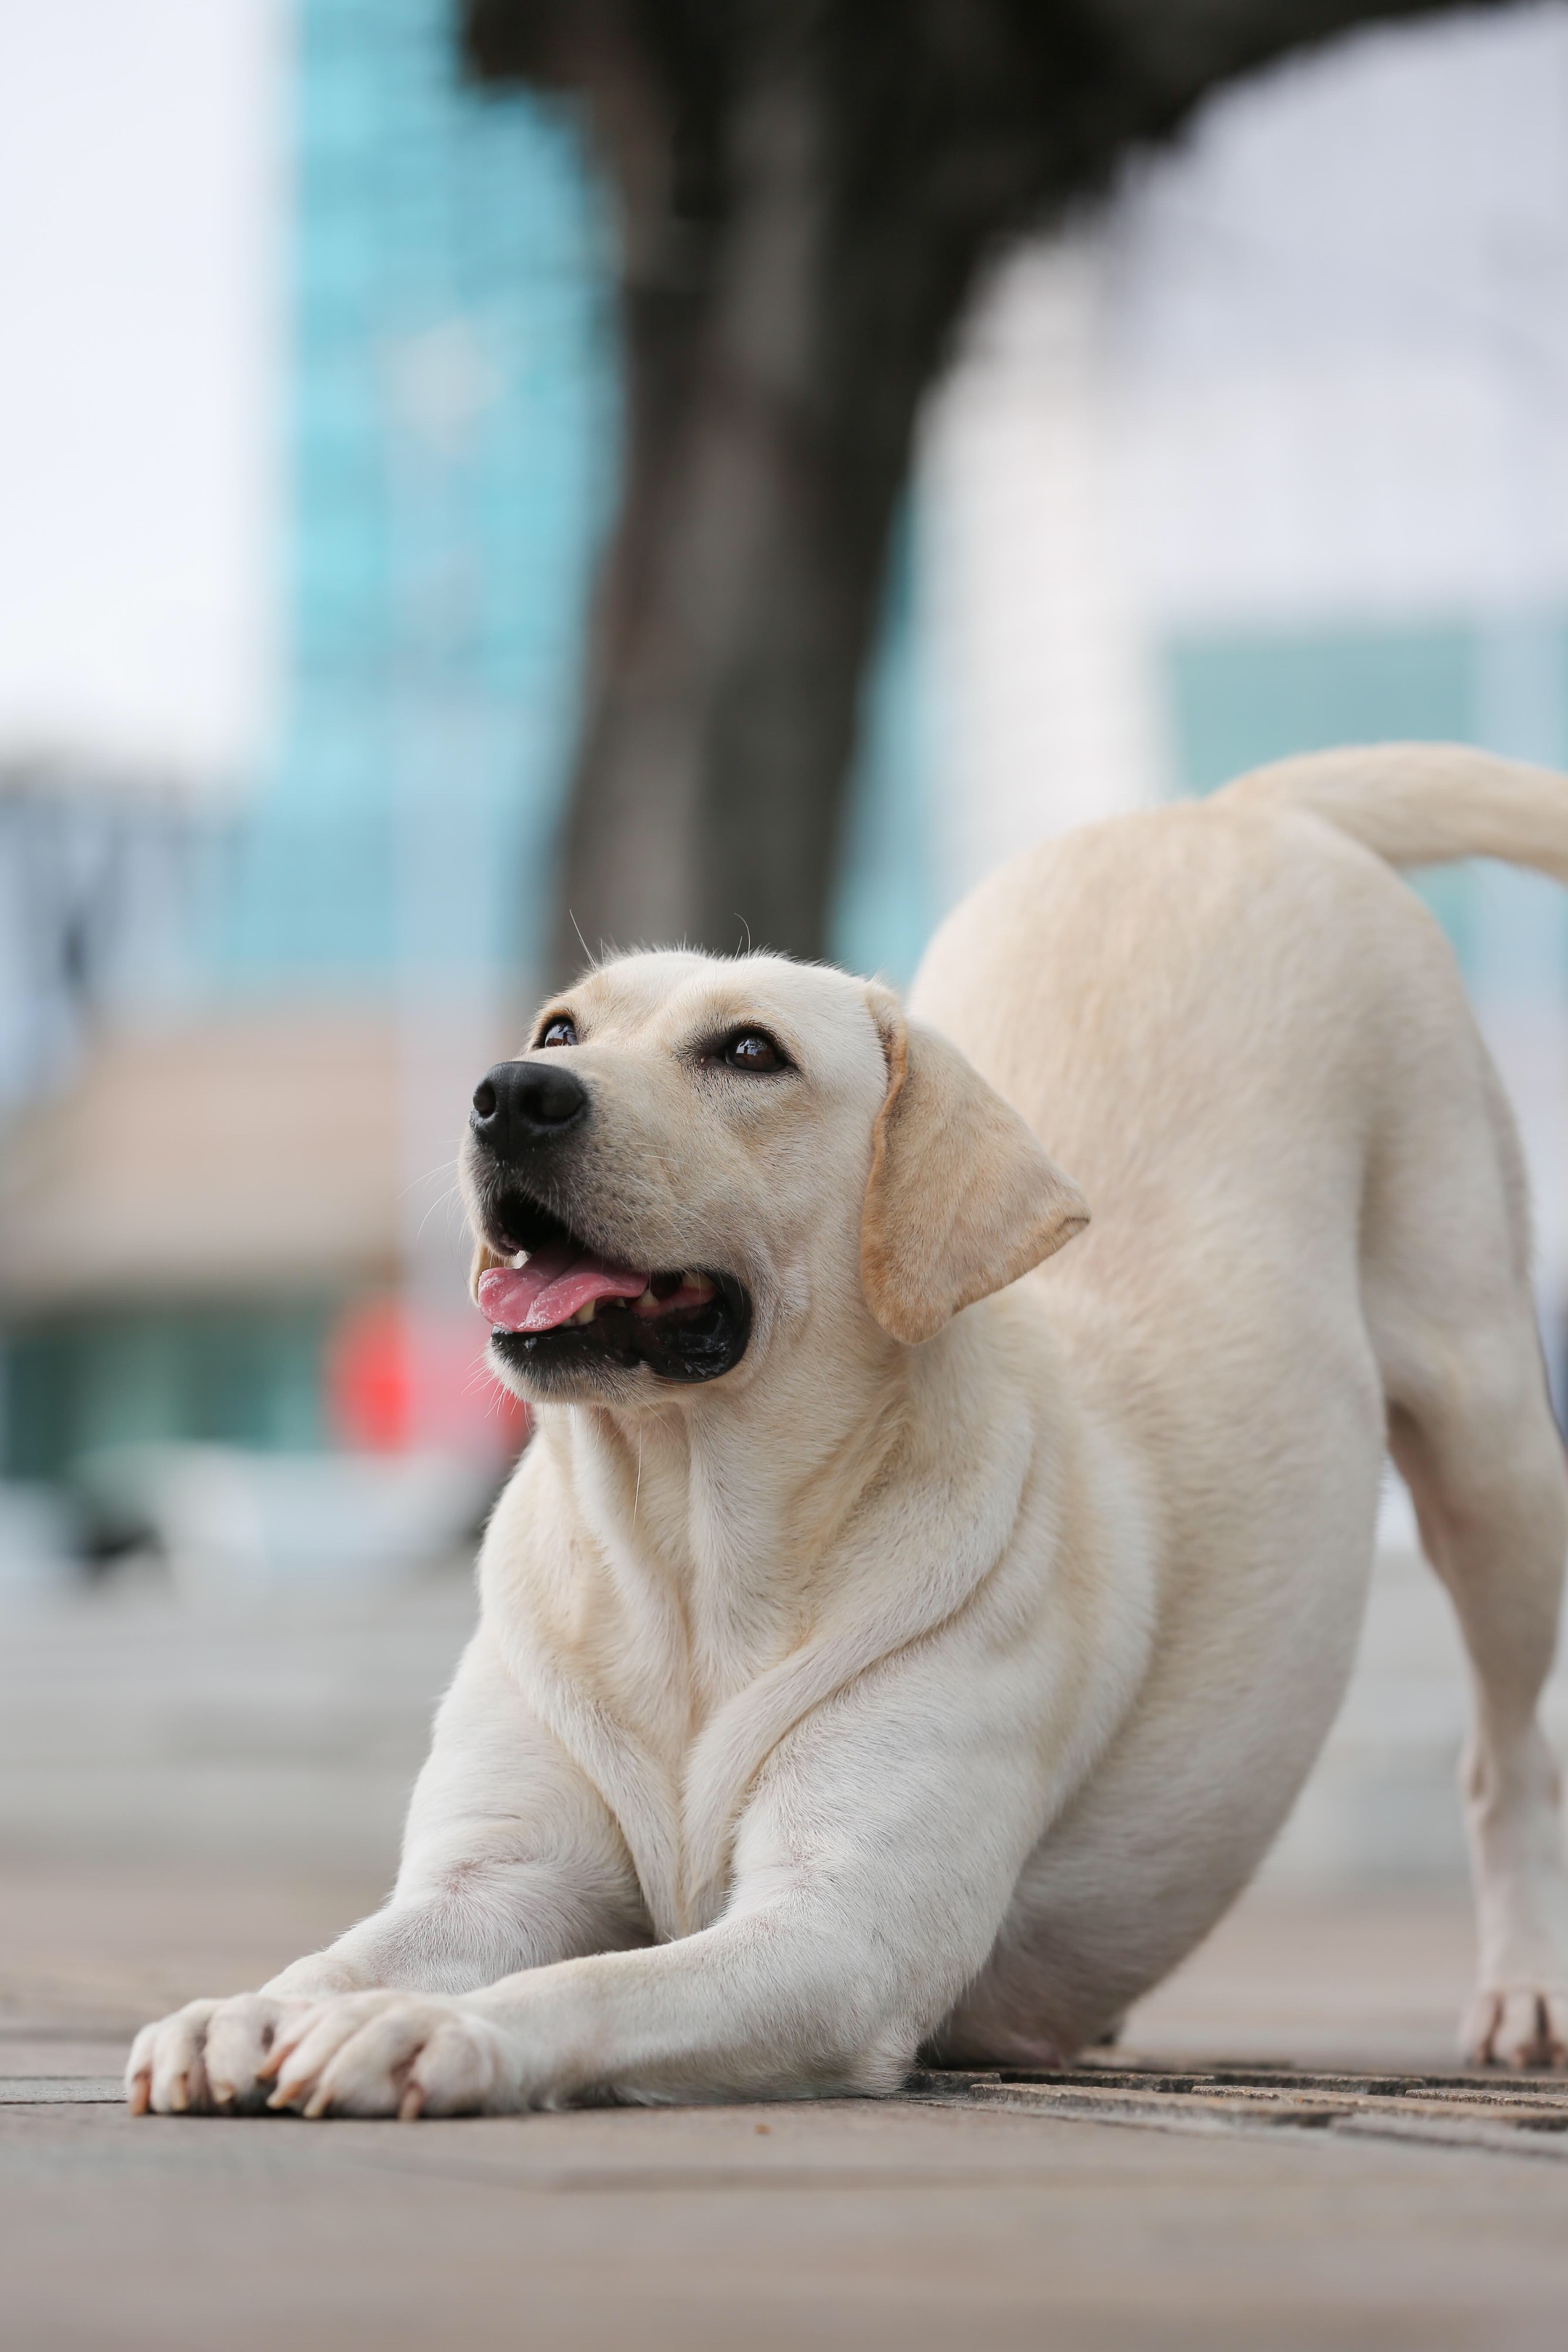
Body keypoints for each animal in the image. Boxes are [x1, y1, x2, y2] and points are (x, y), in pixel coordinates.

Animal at [126, 743, 1568, 2126]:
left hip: (1492, 1440)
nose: (509, 1092)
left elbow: (592, 1981)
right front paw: (249, 2009)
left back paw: (1526, 1990)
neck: (689, 1547)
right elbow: (353, 1950)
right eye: (560, 1024)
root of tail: (1225, 810)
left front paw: (430, 2029)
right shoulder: (496, 1873)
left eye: (749, 1052)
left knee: (1507, 1758)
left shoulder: (840, 1935)